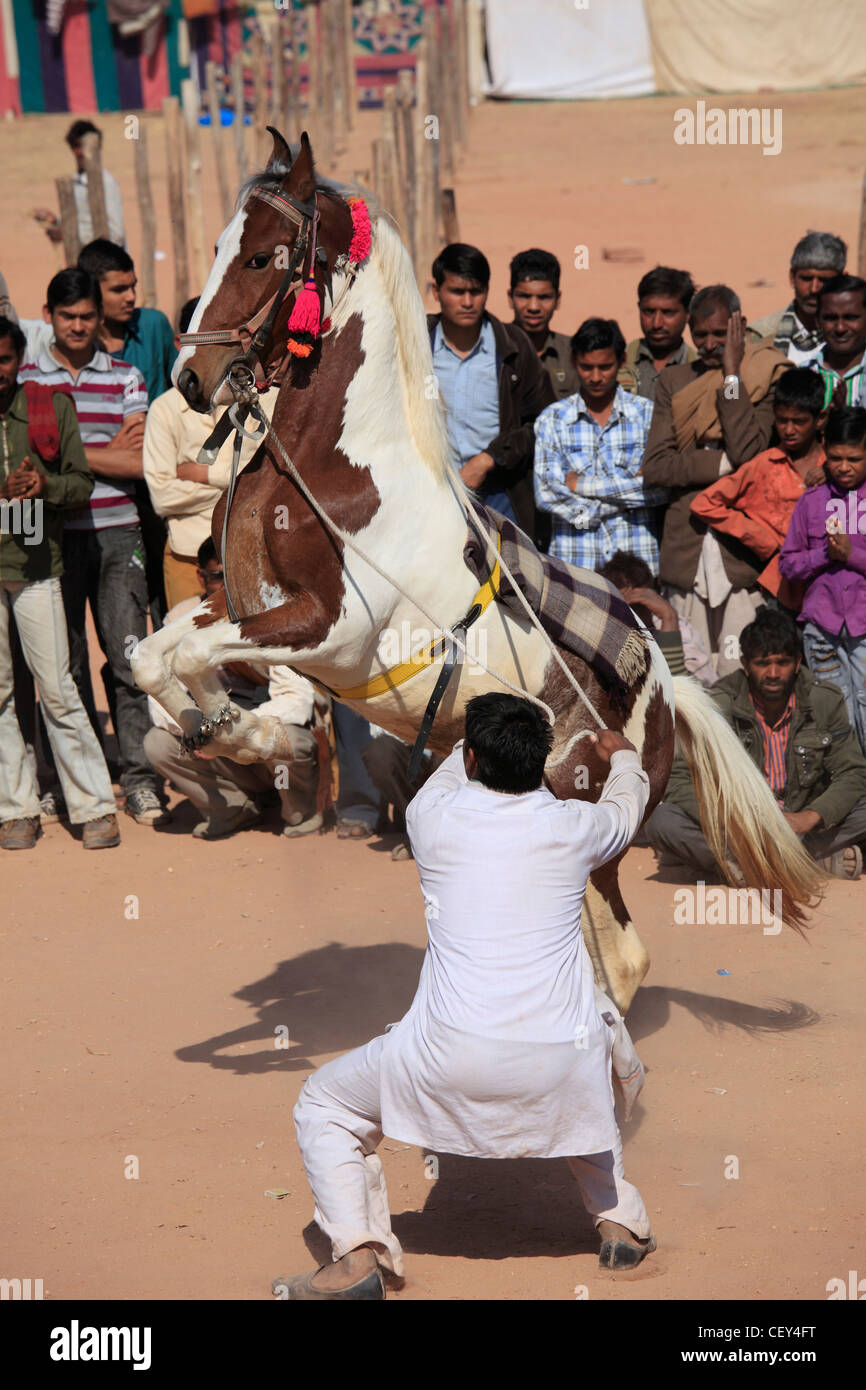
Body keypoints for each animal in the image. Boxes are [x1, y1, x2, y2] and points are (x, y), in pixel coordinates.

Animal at [132, 132, 822, 1011]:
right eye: (220, 247)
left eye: (260, 256)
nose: (191, 381)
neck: (341, 470)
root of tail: (671, 693)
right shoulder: (245, 608)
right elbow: (155, 653)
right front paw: (223, 727)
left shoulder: (333, 633)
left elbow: (192, 655)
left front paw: (245, 734)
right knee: (600, 948)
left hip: (586, 815)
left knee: (625, 957)